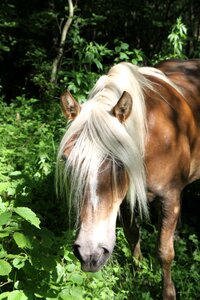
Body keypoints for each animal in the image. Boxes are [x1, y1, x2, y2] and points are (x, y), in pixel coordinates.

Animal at [55, 59, 200, 298]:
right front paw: (137, 274)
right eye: (67, 160)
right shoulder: (125, 201)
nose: (89, 255)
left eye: (121, 162)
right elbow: (133, 236)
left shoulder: (169, 196)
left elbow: (164, 251)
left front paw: (168, 292)